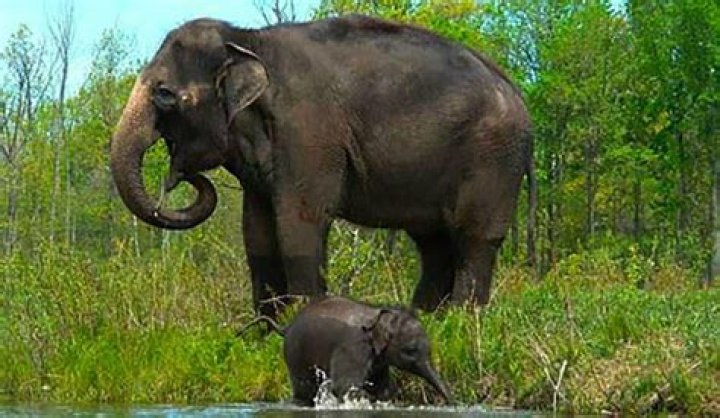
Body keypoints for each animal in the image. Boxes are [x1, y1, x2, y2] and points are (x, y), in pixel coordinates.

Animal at [109, 15, 534, 318]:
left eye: (165, 95)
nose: (179, 176)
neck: (249, 40)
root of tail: (518, 95)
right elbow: (257, 231)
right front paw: (261, 335)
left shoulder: (309, 134)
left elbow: (301, 220)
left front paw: (300, 324)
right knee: (435, 246)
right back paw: (428, 319)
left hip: (492, 160)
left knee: (474, 239)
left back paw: (462, 322)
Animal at [240, 296, 452, 406]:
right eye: (410, 351)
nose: (452, 402)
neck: (381, 315)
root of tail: (286, 326)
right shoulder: (353, 346)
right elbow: (344, 386)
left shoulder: (379, 359)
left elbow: (383, 388)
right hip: (294, 352)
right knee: (304, 387)